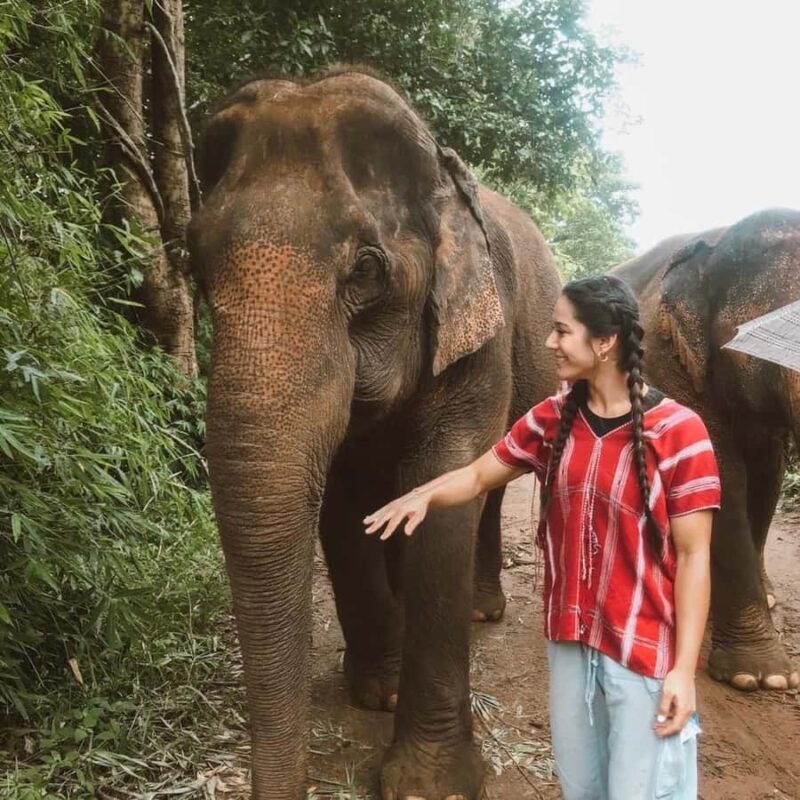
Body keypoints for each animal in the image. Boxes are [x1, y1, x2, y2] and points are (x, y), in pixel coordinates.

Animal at [187, 68, 560, 800]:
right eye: (196, 267)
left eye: (365, 270)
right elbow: (344, 497)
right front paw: (377, 694)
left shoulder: (482, 337)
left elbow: (441, 481)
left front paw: (429, 784)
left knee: (491, 494)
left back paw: (483, 611)